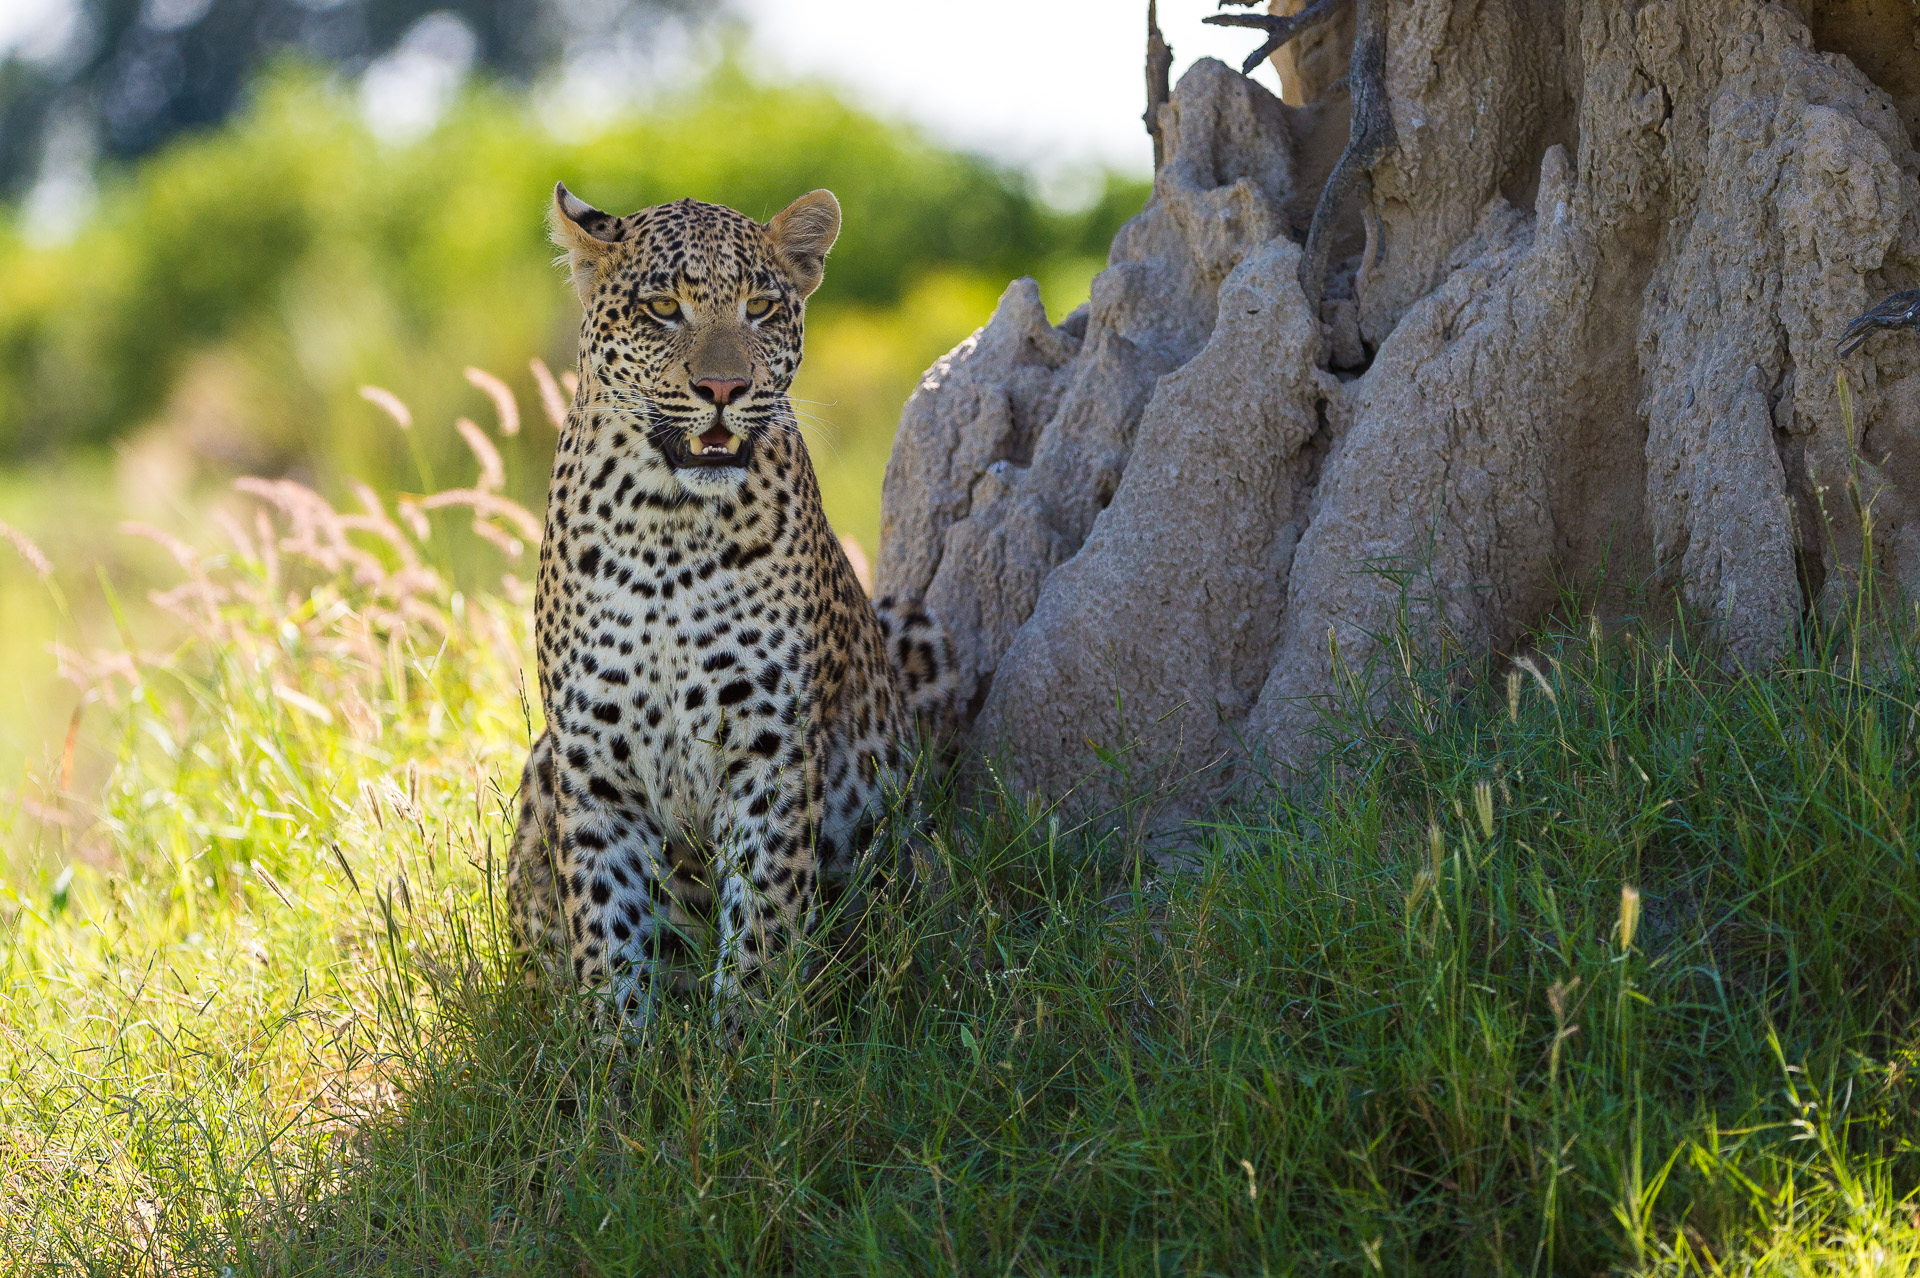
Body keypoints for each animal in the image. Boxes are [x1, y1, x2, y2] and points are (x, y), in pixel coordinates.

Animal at [504, 182, 954, 1033]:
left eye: (760, 308)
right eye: (662, 309)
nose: (722, 390)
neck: (666, 526)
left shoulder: (769, 749)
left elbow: (764, 923)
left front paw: (748, 1047)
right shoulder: (592, 759)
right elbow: (606, 930)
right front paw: (615, 1056)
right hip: (543, 762)